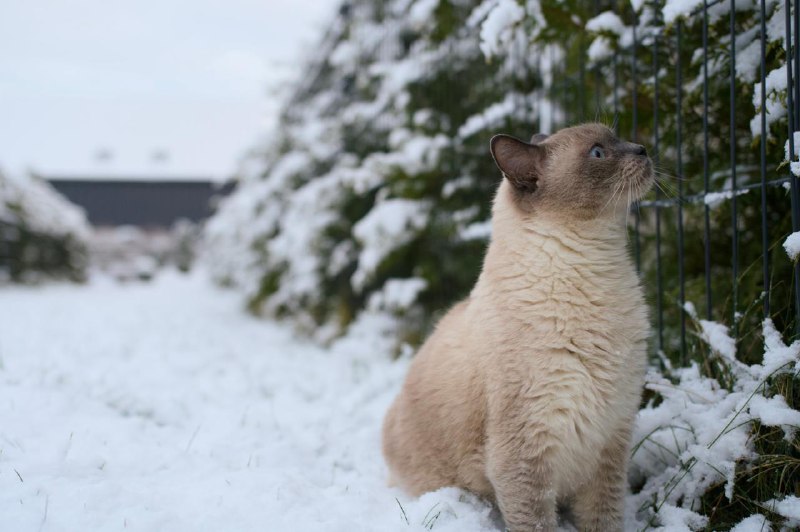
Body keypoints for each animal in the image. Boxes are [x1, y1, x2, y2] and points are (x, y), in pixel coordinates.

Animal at [384, 122, 652, 528]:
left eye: (617, 136)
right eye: (598, 153)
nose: (643, 150)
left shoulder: (610, 441)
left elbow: (603, 521)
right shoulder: (524, 457)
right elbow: (536, 522)